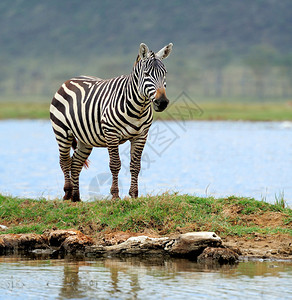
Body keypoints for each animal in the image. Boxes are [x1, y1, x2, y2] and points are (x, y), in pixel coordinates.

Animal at [50, 42, 173, 202]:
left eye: (165, 73)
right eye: (146, 74)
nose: (162, 102)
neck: (138, 108)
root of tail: (69, 80)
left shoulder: (141, 136)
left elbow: (135, 166)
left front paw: (134, 195)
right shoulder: (111, 133)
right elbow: (115, 164)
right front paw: (115, 195)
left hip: (85, 138)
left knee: (76, 162)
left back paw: (76, 197)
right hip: (62, 131)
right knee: (64, 161)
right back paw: (67, 193)